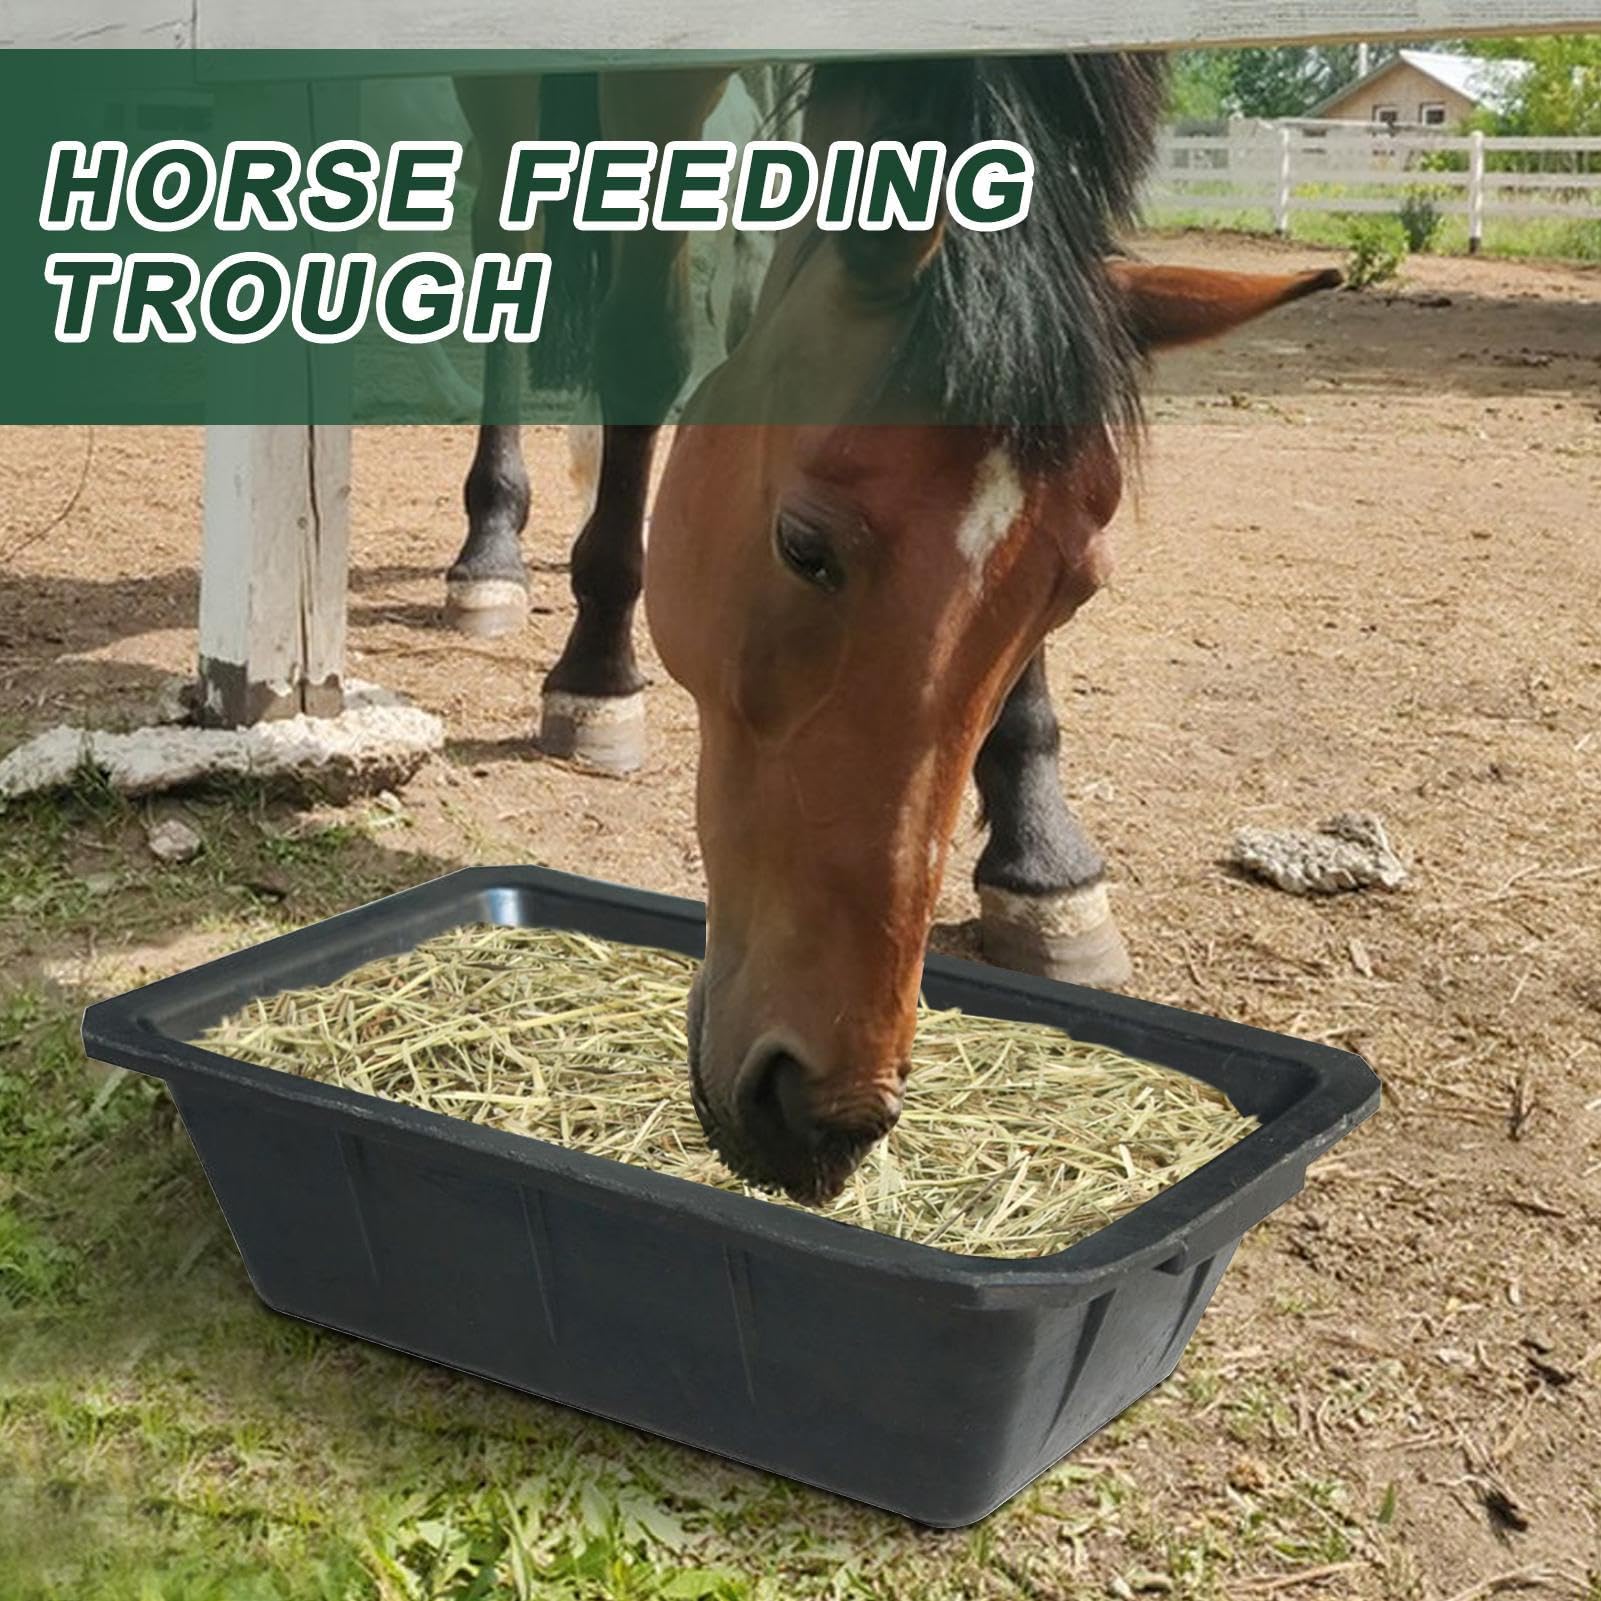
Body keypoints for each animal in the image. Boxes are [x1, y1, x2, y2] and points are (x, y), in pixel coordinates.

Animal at [448, 55, 1340, 1203]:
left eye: (1077, 590)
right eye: (802, 545)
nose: (824, 1116)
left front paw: (1043, 859)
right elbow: (645, 329)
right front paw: (597, 672)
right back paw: (493, 553)